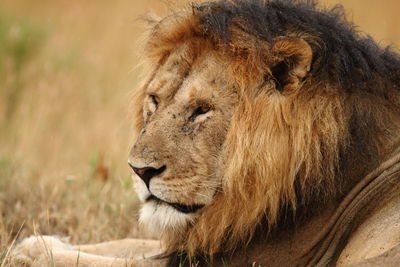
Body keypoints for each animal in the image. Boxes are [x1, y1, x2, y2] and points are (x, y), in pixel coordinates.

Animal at [10, 0, 400, 266]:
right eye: (154, 100)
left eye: (201, 110)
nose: (140, 171)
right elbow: (127, 244)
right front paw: (32, 242)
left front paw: (33, 253)